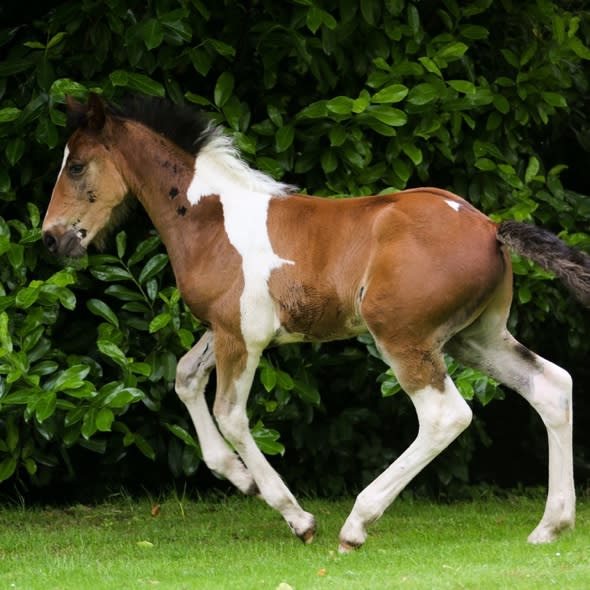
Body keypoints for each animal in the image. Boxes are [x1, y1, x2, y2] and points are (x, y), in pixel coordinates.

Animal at [42, 95, 590, 552]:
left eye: (76, 164)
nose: (50, 238)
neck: (211, 219)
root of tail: (490, 227)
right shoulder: (223, 328)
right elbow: (185, 378)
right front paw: (238, 477)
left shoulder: (243, 337)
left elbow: (230, 415)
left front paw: (298, 518)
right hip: (474, 338)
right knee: (552, 386)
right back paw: (550, 526)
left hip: (403, 337)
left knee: (445, 415)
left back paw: (356, 525)